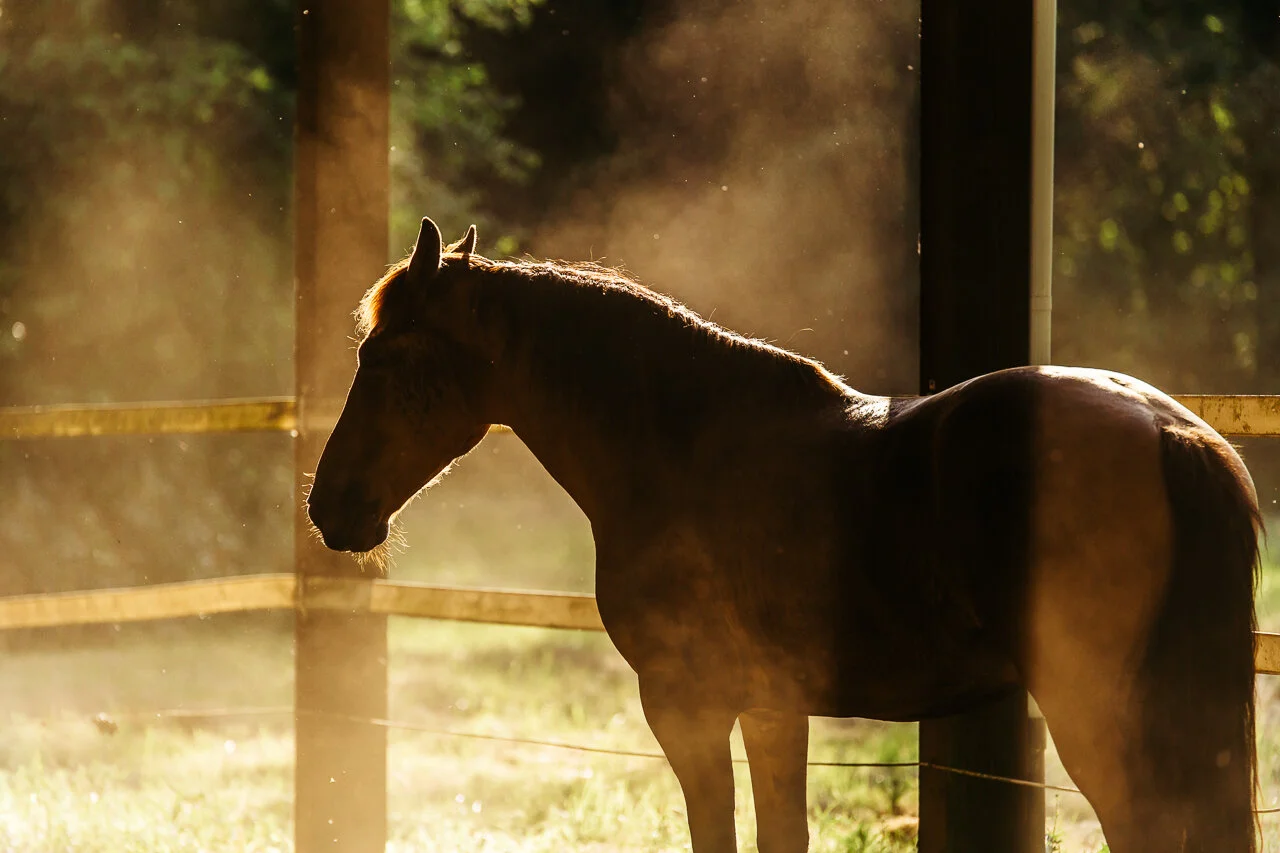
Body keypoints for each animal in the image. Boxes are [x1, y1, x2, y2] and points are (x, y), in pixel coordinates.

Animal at [306, 217, 1262, 853]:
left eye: (381, 360)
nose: (328, 505)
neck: (682, 447)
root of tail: (1165, 427)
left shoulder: (687, 705)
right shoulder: (773, 706)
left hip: (1100, 713)